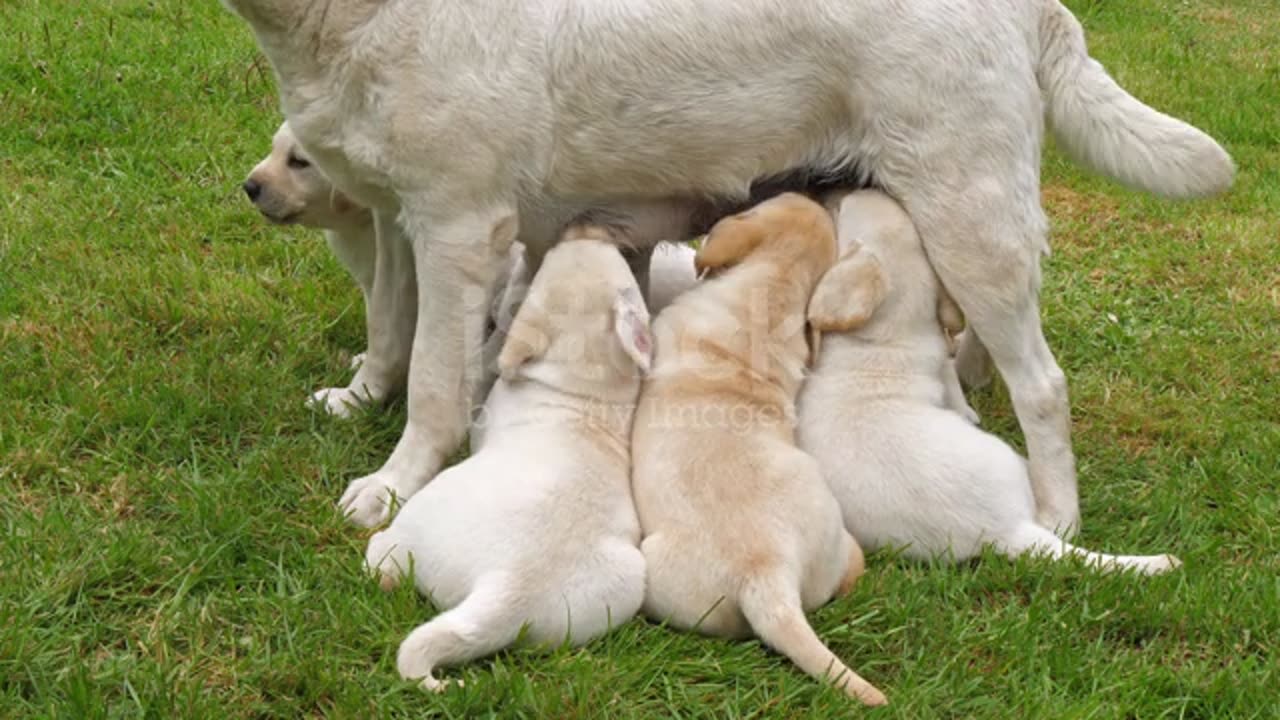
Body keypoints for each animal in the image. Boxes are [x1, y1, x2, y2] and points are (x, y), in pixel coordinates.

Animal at [220, 0, 1228, 532]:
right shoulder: (400, 219)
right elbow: (391, 328)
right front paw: (360, 399)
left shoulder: (460, 225)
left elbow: (434, 379)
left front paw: (396, 484)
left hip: (969, 214)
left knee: (1044, 383)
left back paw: (1057, 519)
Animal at [368, 234, 650, 691]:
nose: (586, 227)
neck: (584, 389)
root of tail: (505, 591)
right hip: (622, 586)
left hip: (421, 517)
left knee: (384, 558)